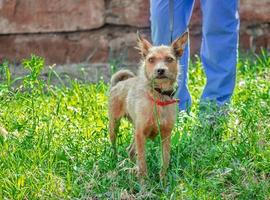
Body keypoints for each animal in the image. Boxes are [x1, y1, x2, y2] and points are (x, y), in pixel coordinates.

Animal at [107, 31, 188, 178]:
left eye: (169, 59)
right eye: (151, 60)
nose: (160, 70)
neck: (158, 97)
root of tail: (119, 83)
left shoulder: (166, 135)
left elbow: (165, 159)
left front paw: (163, 180)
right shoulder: (141, 134)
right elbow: (143, 163)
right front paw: (144, 182)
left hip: (135, 130)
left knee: (130, 150)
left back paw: (131, 168)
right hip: (114, 124)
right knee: (115, 146)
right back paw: (115, 161)